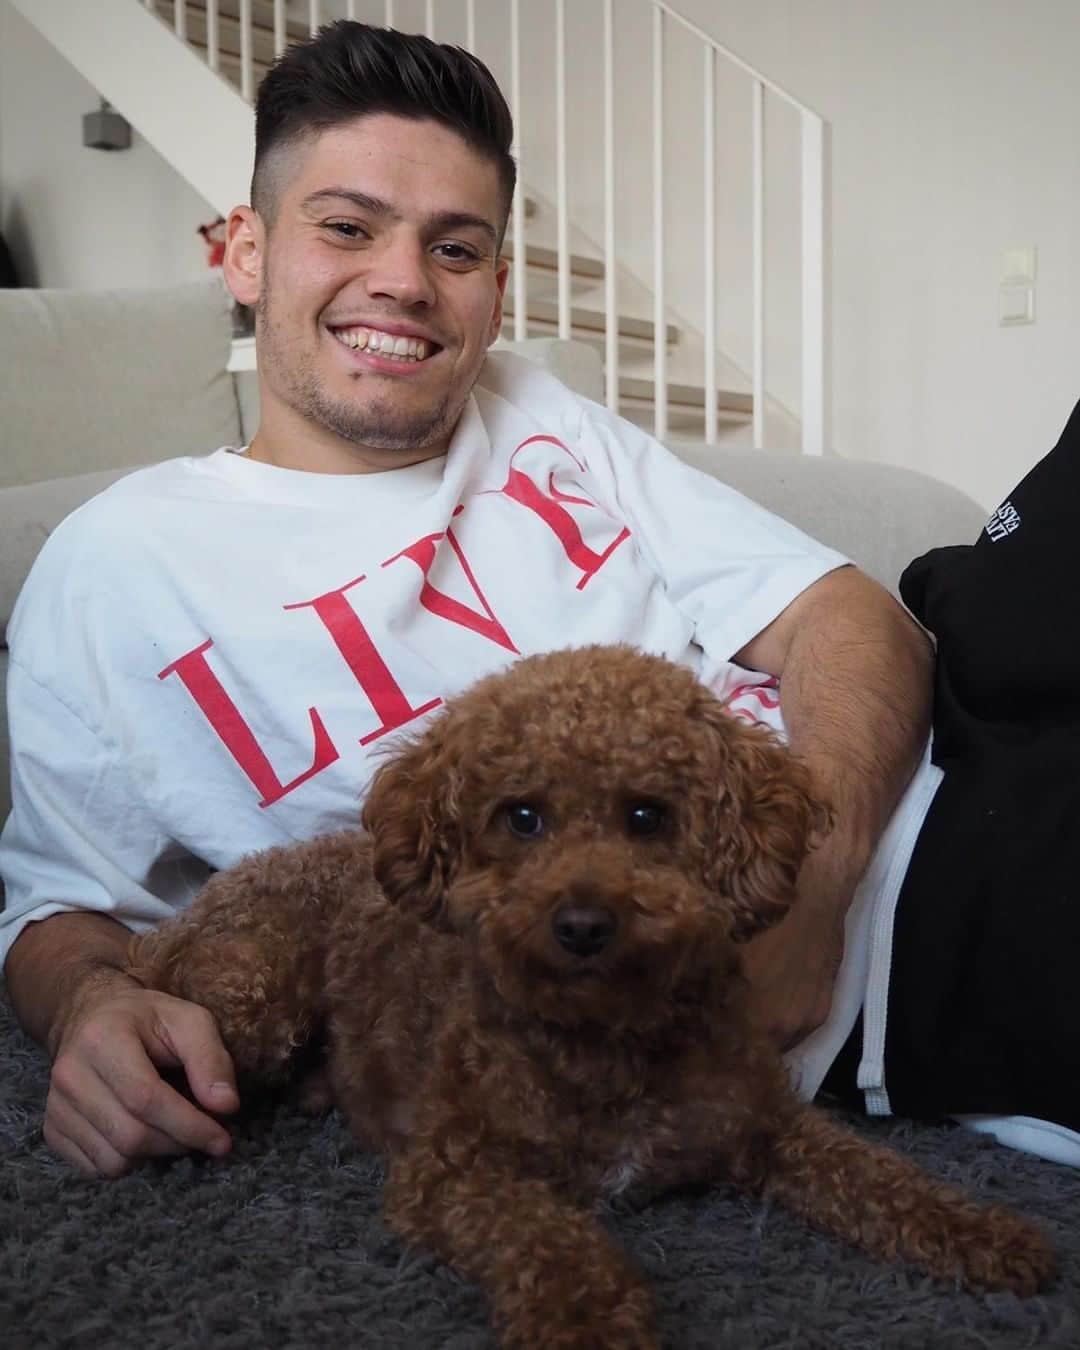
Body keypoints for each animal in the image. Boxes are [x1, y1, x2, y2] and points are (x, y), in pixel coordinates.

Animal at [124, 642, 1053, 1350]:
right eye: (521, 817)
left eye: (646, 816)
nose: (581, 923)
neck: (605, 1037)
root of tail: (183, 917)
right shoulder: (453, 1171)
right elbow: (553, 1242)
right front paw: (590, 1324)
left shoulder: (763, 1123)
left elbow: (874, 1173)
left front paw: (985, 1234)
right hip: (252, 997)